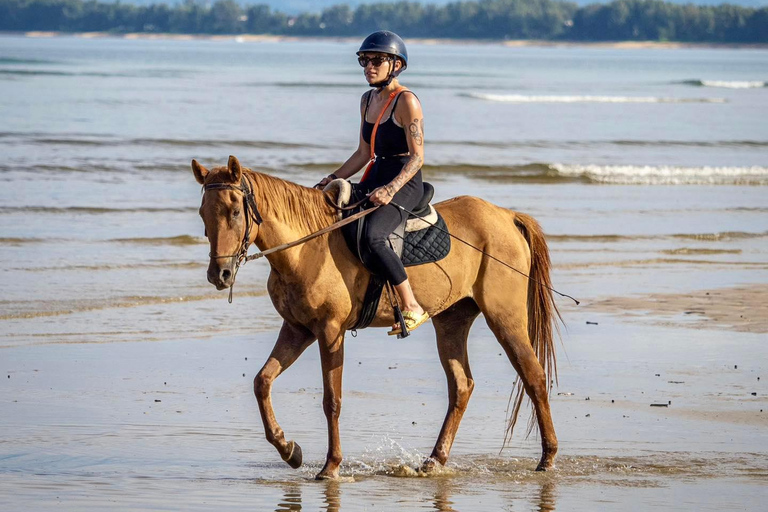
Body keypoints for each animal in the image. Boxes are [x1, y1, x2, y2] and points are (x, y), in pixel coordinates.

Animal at [194, 156, 564, 480]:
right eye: (203, 213)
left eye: (235, 211)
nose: (220, 275)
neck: (307, 248)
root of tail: (508, 216)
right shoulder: (298, 329)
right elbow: (262, 382)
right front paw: (289, 450)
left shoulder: (330, 331)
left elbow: (332, 400)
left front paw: (331, 466)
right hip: (451, 321)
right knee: (461, 386)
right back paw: (434, 461)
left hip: (505, 317)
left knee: (533, 376)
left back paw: (547, 458)